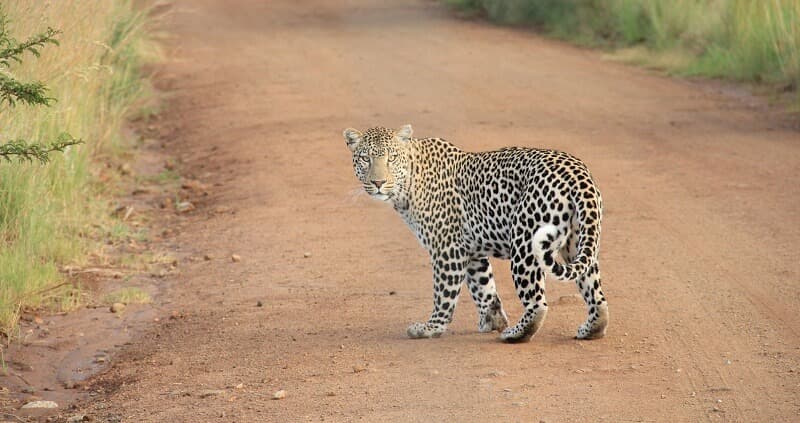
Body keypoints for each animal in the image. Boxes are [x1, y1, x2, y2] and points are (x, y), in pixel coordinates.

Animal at [340, 124, 608, 342]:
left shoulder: (447, 249)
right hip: (578, 242)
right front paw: (493, 320)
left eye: (392, 158)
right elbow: (484, 287)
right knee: (596, 294)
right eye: (364, 158)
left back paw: (515, 334)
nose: (378, 183)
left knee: (537, 303)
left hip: (525, 243)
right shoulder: (471, 251)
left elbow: (444, 293)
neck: (409, 183)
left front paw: (431, 328)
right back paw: (591, 329)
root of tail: (577, 173)